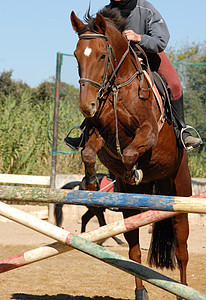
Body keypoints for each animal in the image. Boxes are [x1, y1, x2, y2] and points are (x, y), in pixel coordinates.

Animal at [70, 7, 192, 300]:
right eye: (77, 55)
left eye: (102, 55)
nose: (87, 106)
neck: (118, 87)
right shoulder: (99, 133)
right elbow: (89, 152)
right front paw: (91, 183)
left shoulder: (149, 132)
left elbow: (129, 153)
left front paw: (131, 171)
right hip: (132, 209)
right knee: (134, 251)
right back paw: (141, 292)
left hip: (180, 193)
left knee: (182, 251)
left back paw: (182, 290)